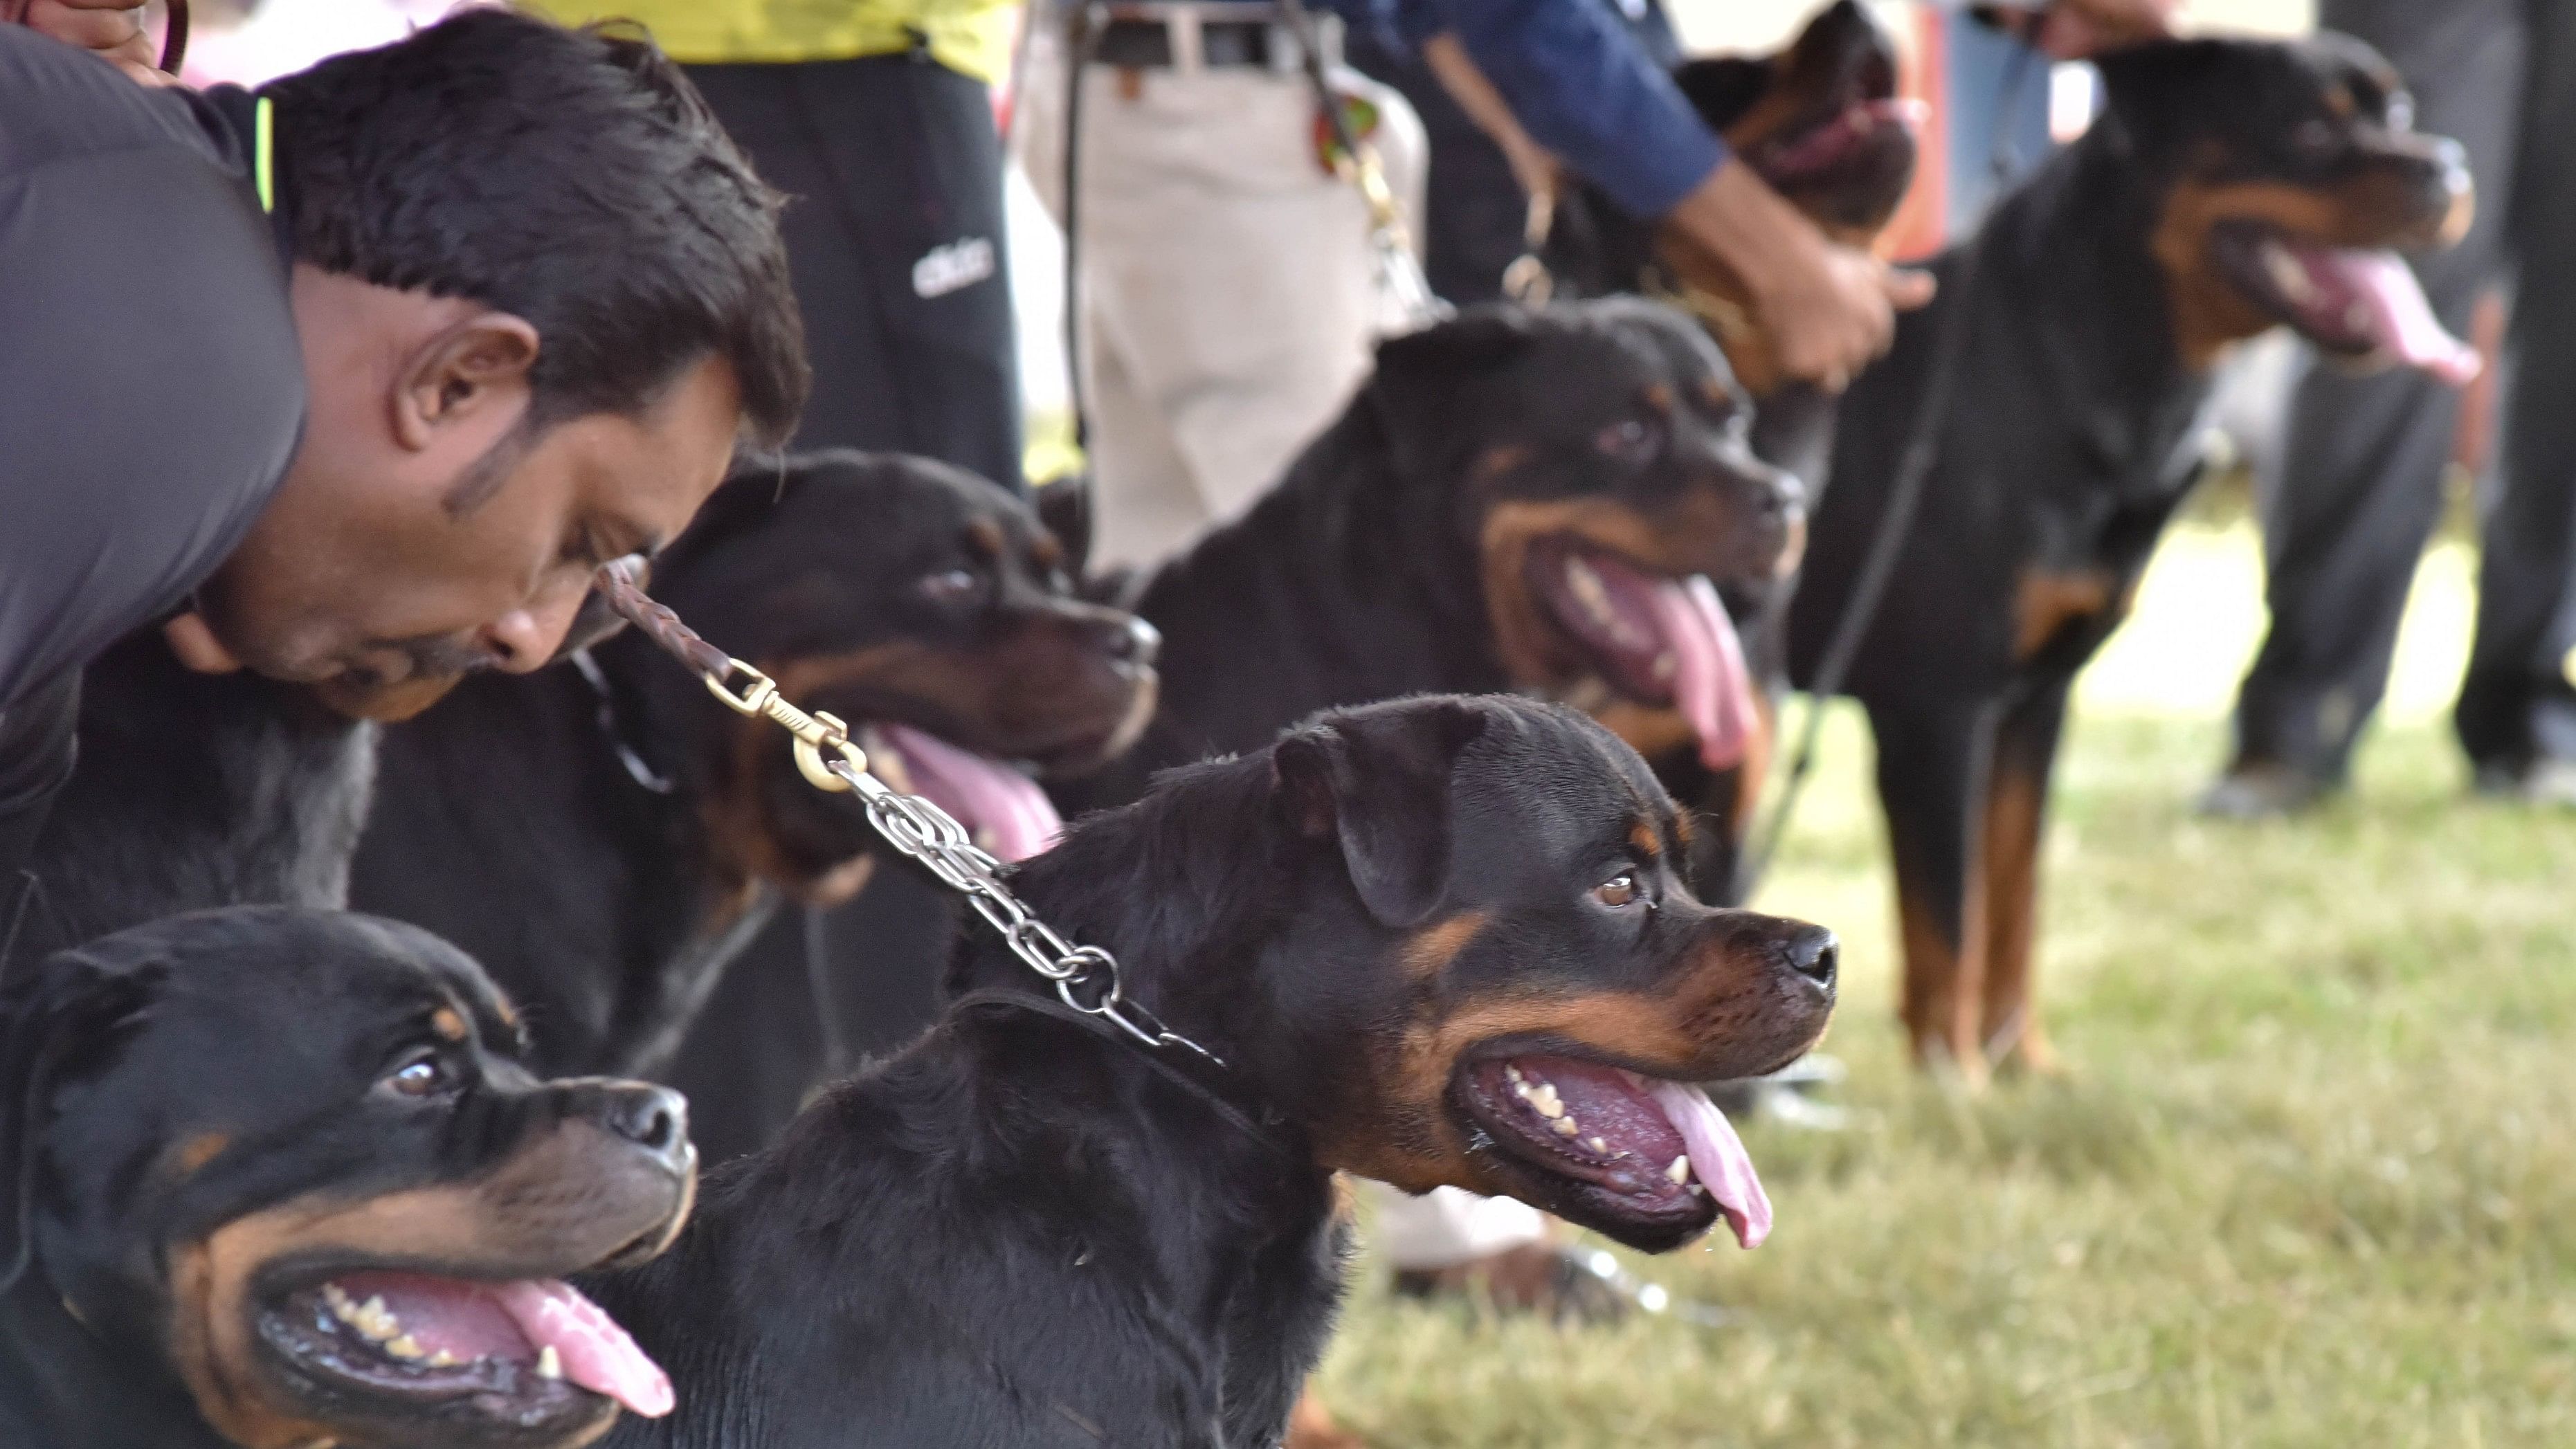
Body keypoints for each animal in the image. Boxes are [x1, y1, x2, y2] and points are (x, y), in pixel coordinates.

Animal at [1793, 34, 2473, 1081]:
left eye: (2395, 116)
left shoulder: (2033, 704)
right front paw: (1955, 1081)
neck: (2072, 362)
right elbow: (1947, 917)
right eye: (2310, 128)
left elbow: (2012, 898)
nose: (2448, 166)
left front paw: (2023, 1064)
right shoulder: (1937, 705)